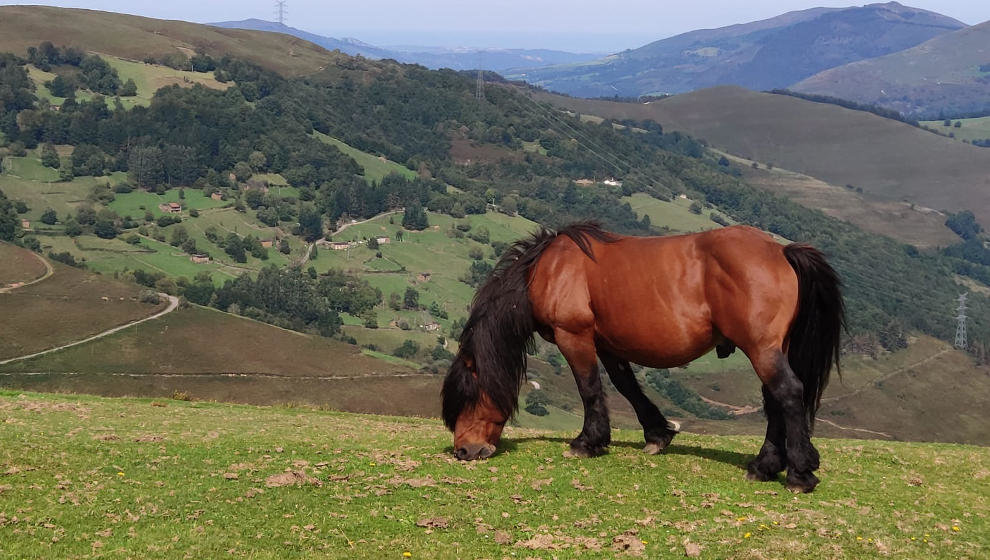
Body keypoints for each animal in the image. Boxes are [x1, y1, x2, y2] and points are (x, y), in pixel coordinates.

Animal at [446, 221, 848, 492]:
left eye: (467, 394)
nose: (464, 451)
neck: (549, 269)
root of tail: (780, 251)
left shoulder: (574, 336)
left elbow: (588, 387)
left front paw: (586, 442)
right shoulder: (608, 344)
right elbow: (627, 387)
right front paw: (657, 434)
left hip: (761, 348)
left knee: (788, 394)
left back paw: (798, 473)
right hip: (771, 348)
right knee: (775, 400)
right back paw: (765, 466)